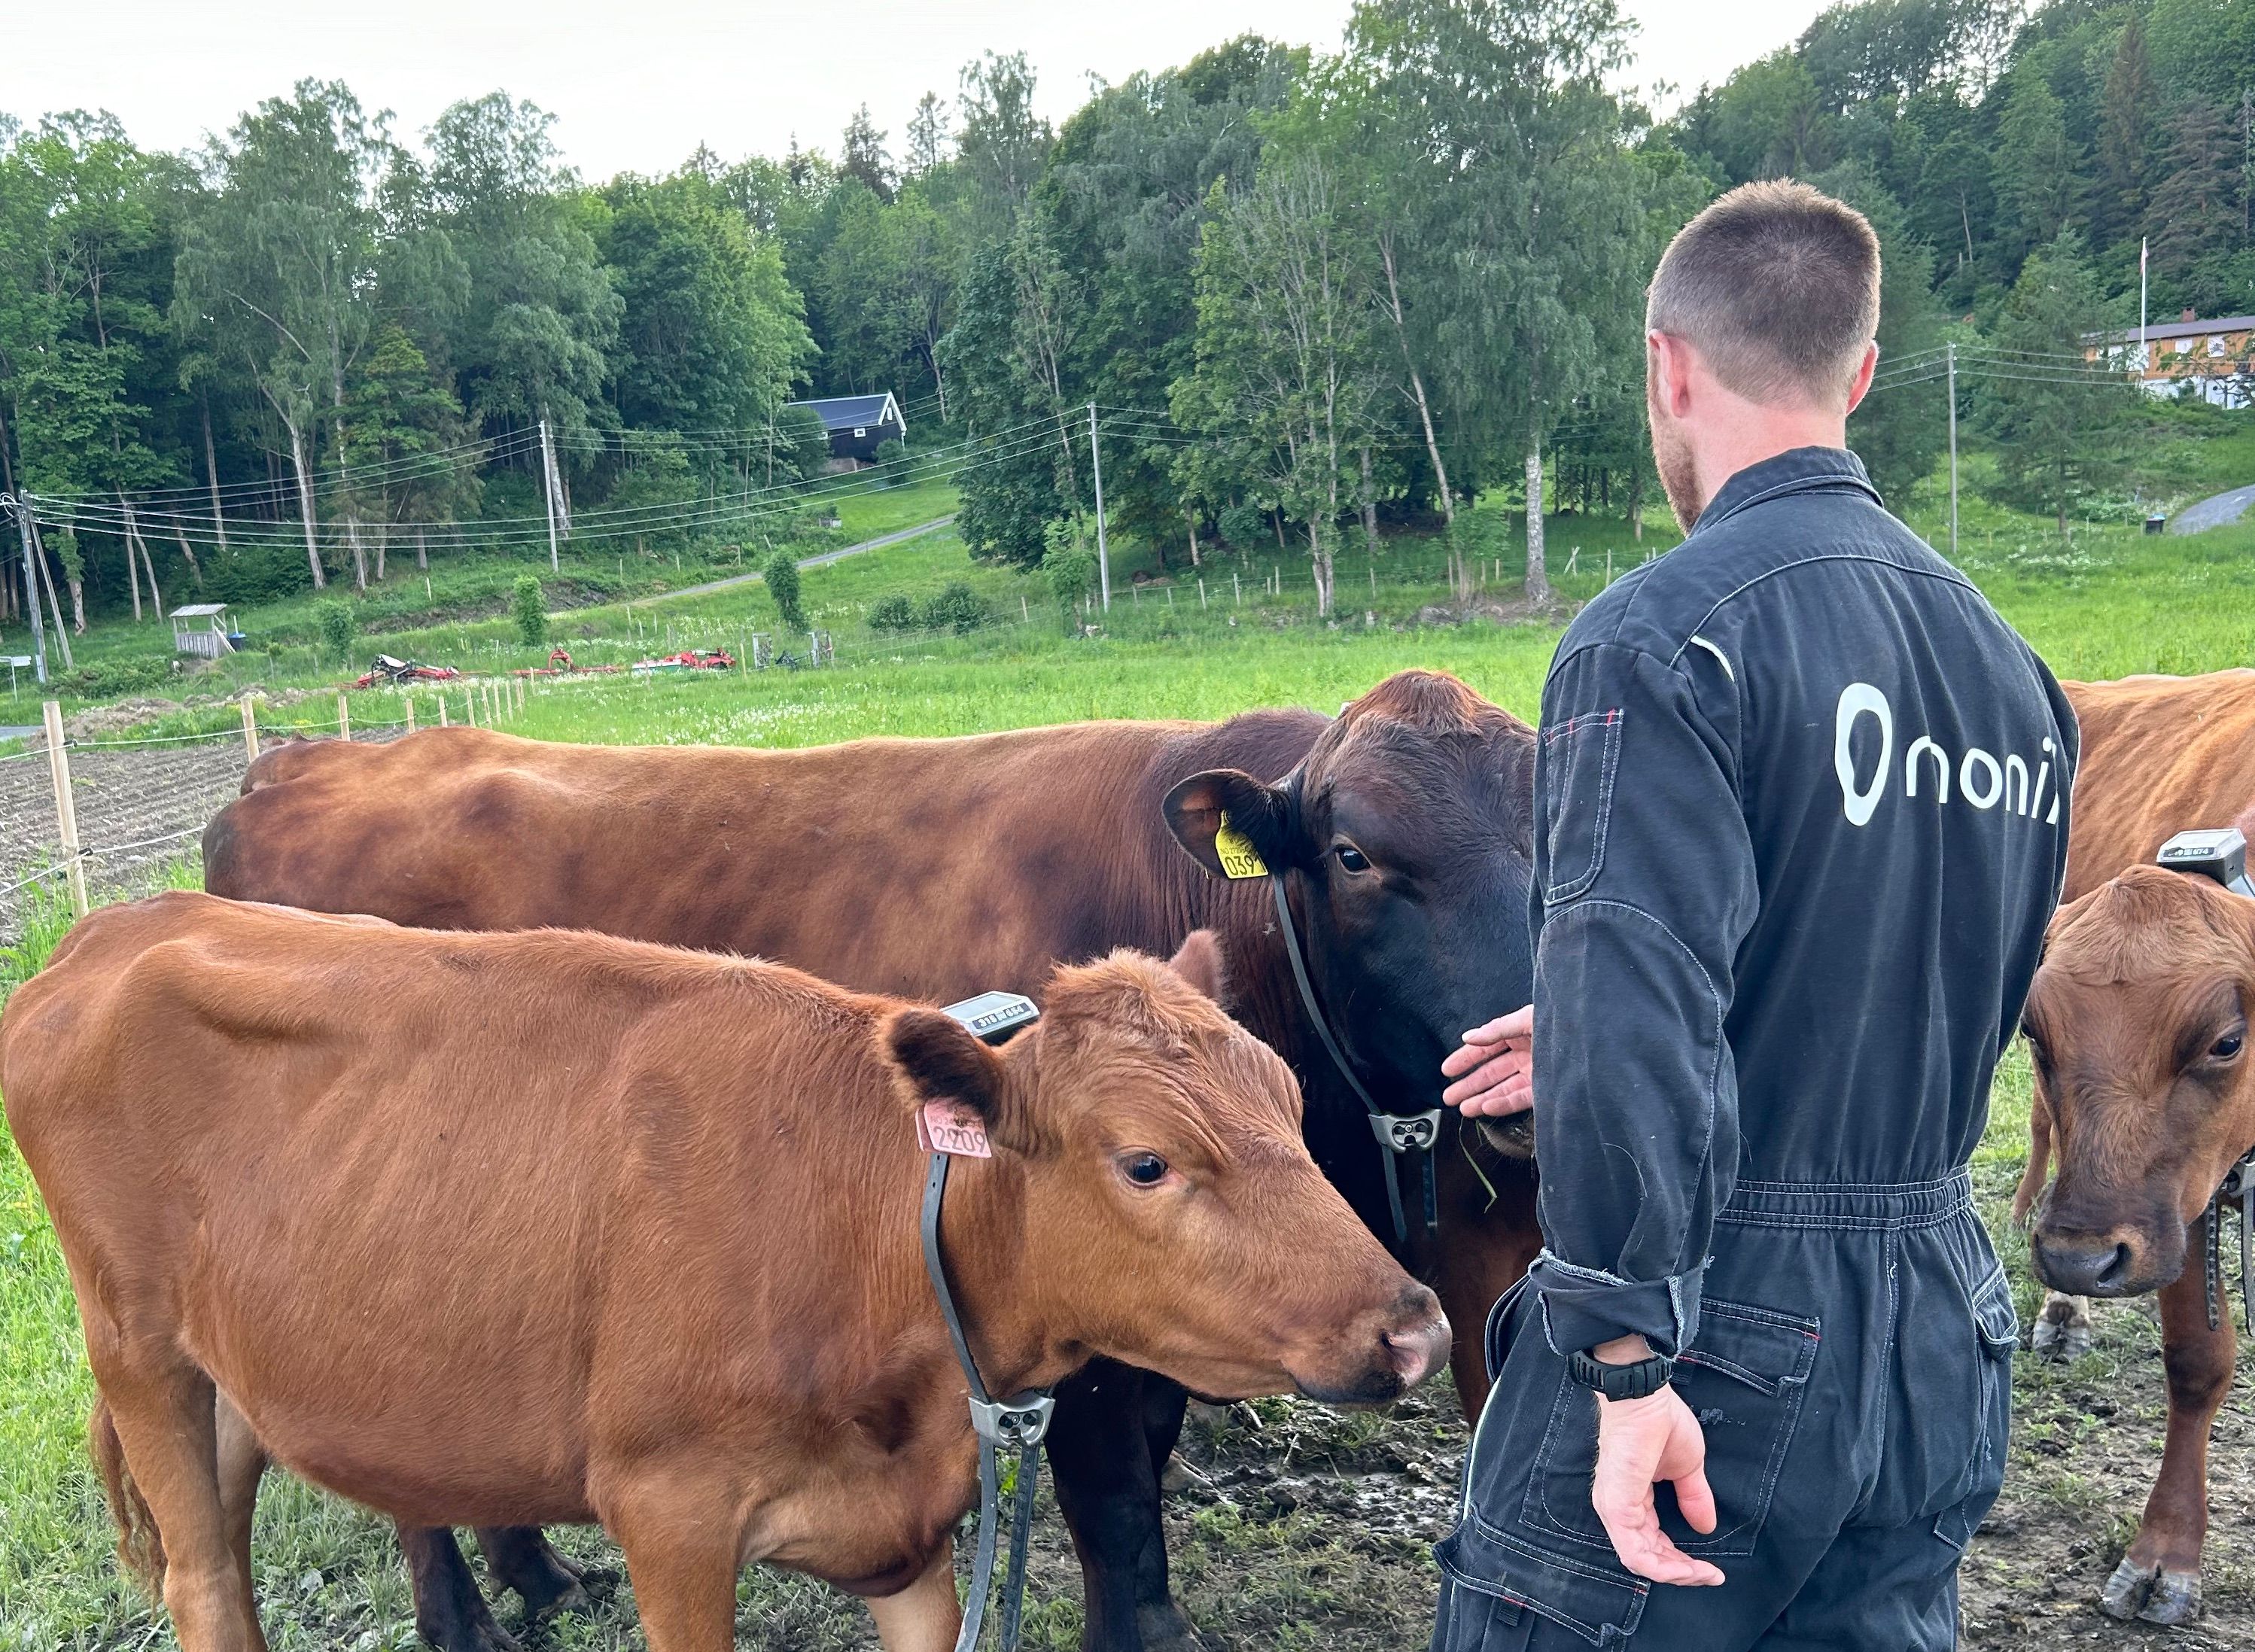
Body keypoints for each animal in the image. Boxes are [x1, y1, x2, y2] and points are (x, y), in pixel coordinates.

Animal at [4, 887, 1443, 1650]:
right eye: (1146, 1162)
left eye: (1287, 1097)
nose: (1414, 1328)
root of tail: (120, 922)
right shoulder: (668, 1514)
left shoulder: (911, 1535)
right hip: (137, 1350)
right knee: (202, 1576)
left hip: (249, 1368)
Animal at [202, 667, 1542, 1650]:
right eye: (1358, 854)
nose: (1524, 1048)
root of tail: (291, 766)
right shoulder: (1066, 1316)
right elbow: (1118, 1508)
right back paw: (464, 1620)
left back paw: (537, 1573)